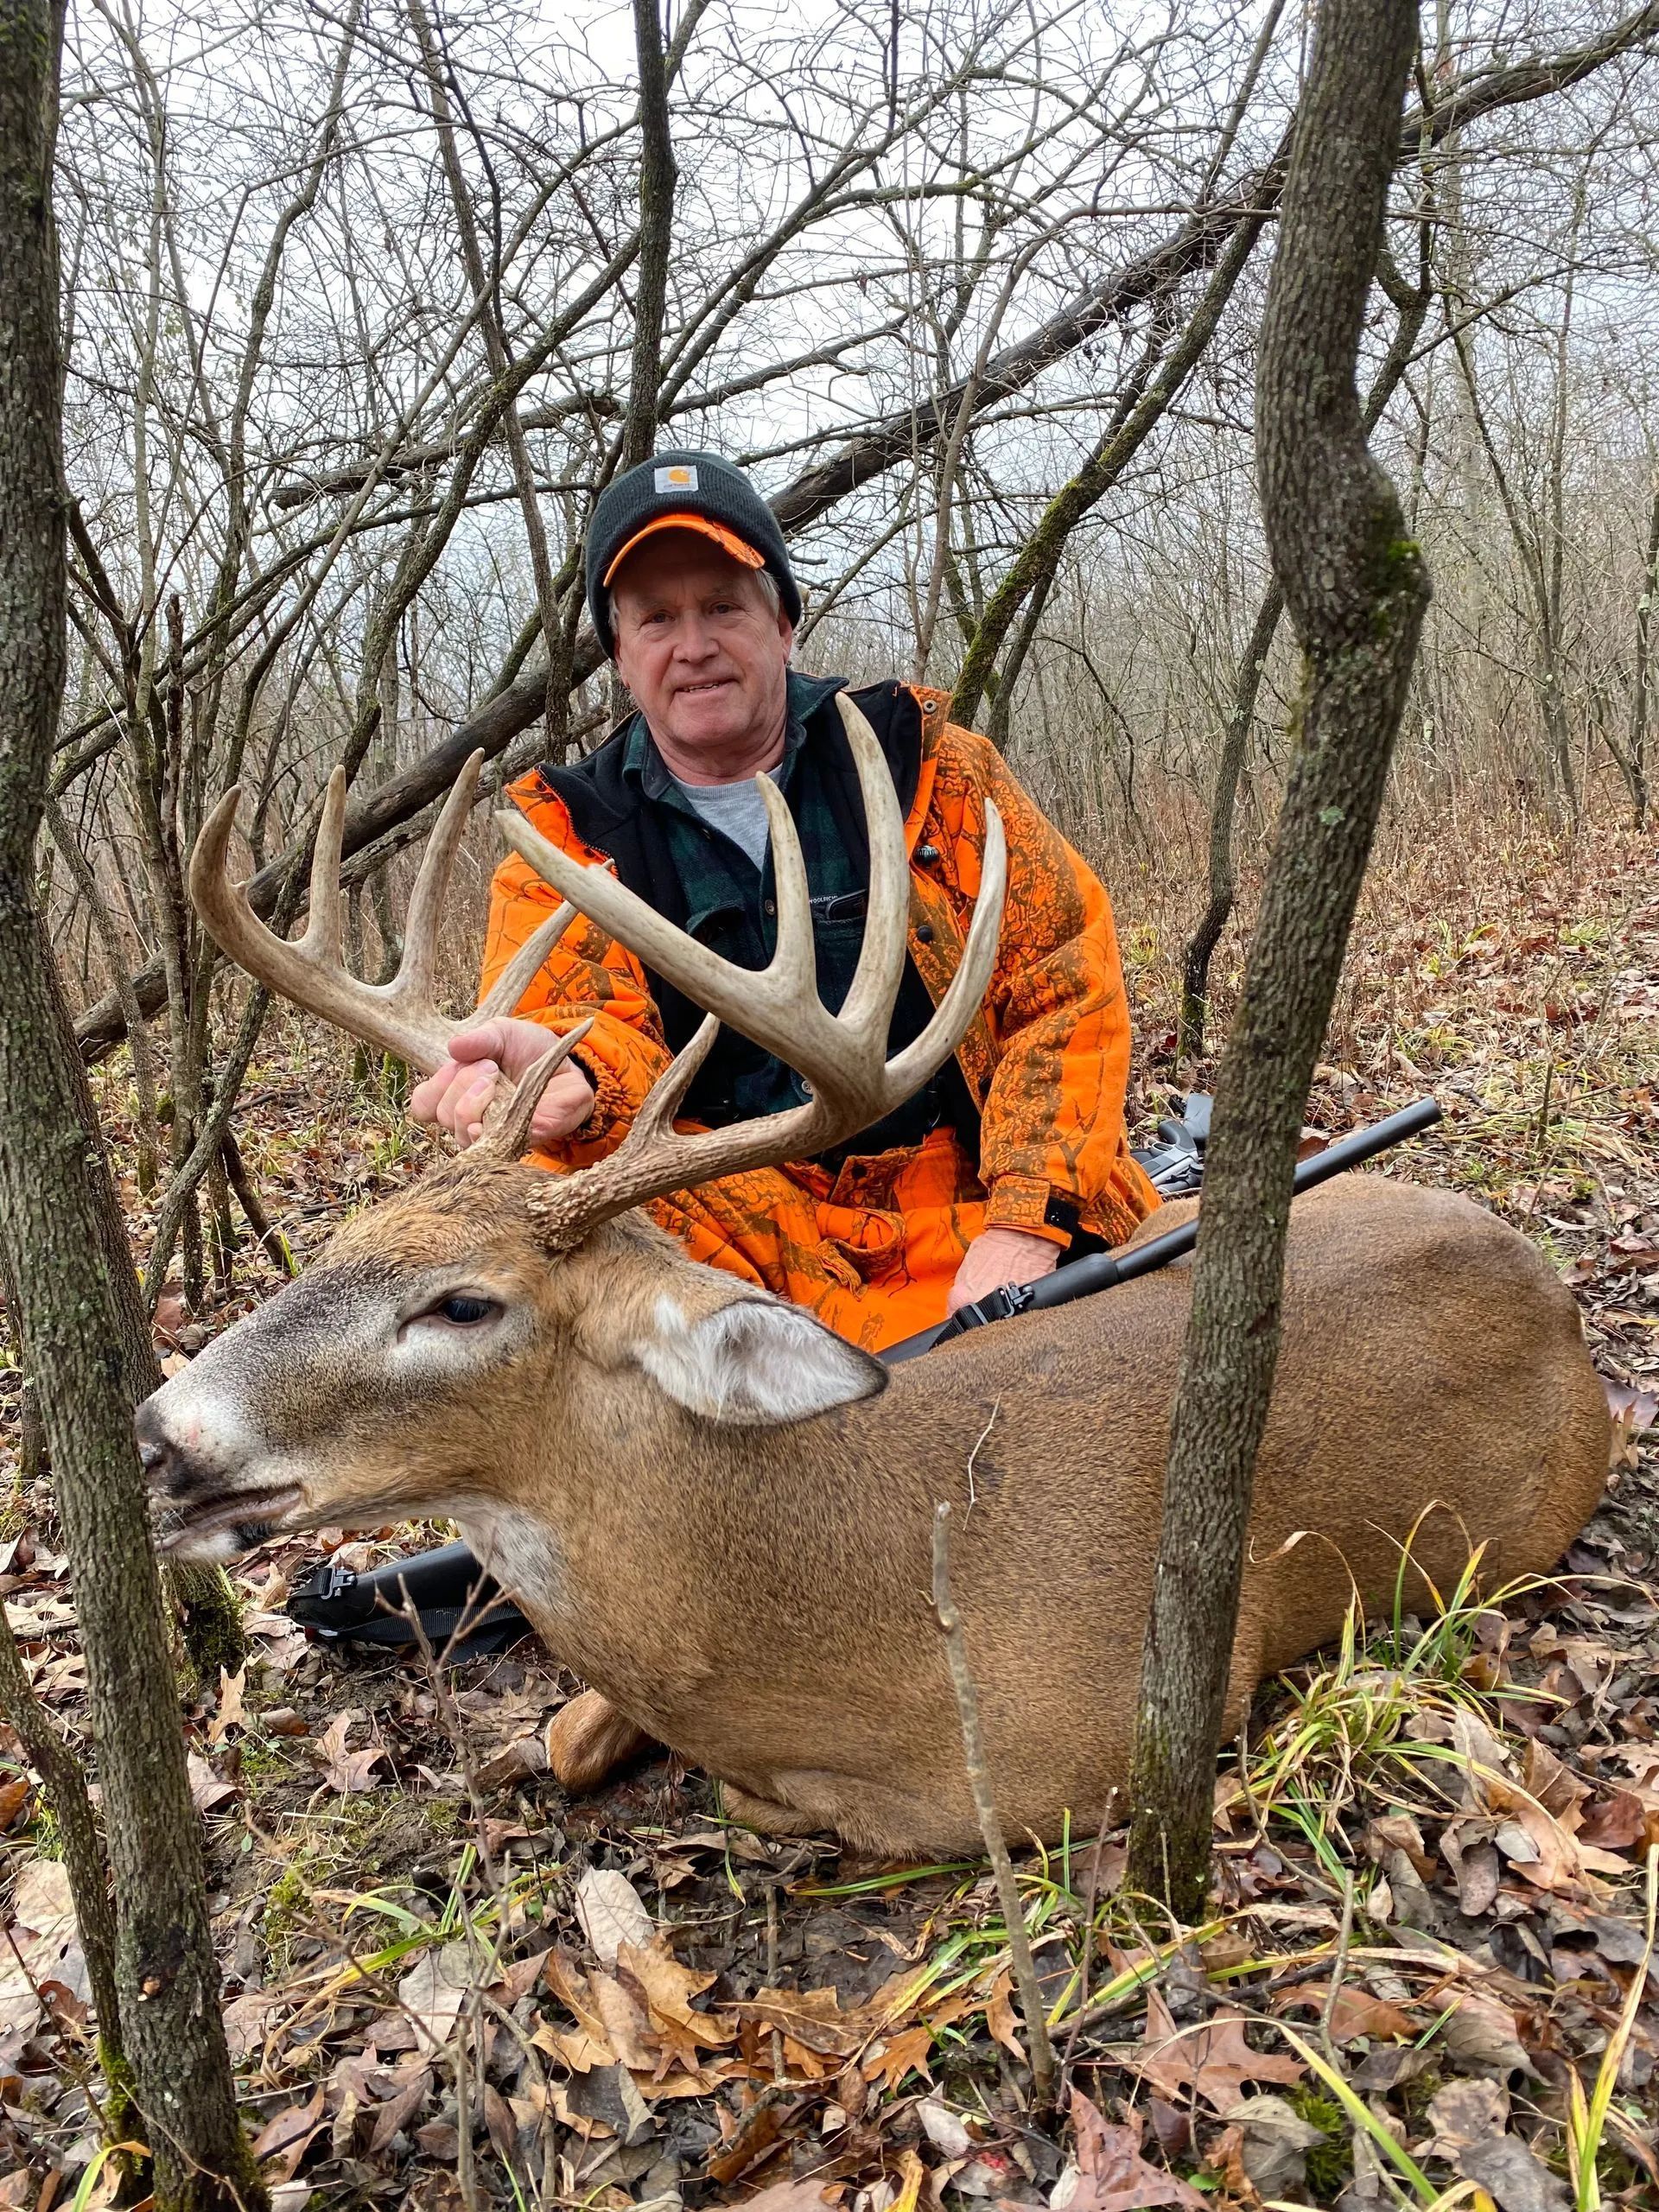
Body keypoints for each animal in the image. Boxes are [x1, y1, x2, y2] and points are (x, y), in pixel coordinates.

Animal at [135, 695, 1611, 1857]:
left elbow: (770, 1804)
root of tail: (1552, 1289)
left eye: (464, 1303)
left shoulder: (1067, 1761)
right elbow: (562, 1741)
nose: (159, 1432)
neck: (825, 1608)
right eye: (341, 1241)